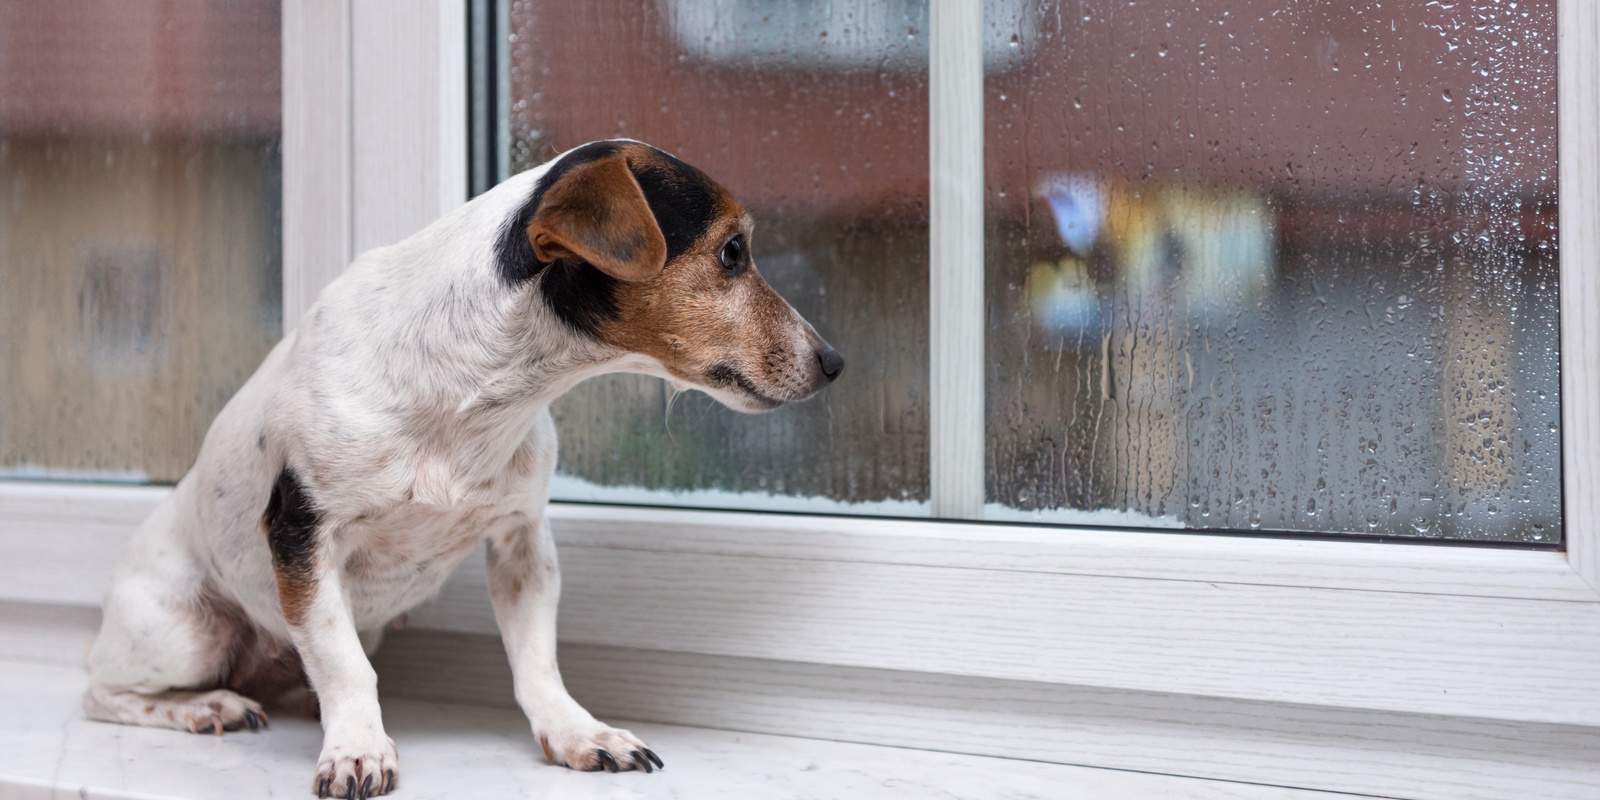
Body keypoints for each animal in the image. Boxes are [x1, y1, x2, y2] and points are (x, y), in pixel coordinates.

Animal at [81, 140, 844, 796]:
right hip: (187, 631)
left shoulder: (521, 541)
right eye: (732, 252)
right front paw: (357, 749)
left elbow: (537, 663)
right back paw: (206, 706)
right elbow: (344, 665)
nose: (835, 362)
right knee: (102, 693)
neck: (480, 390)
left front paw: (578, 735)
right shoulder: (304, 536)